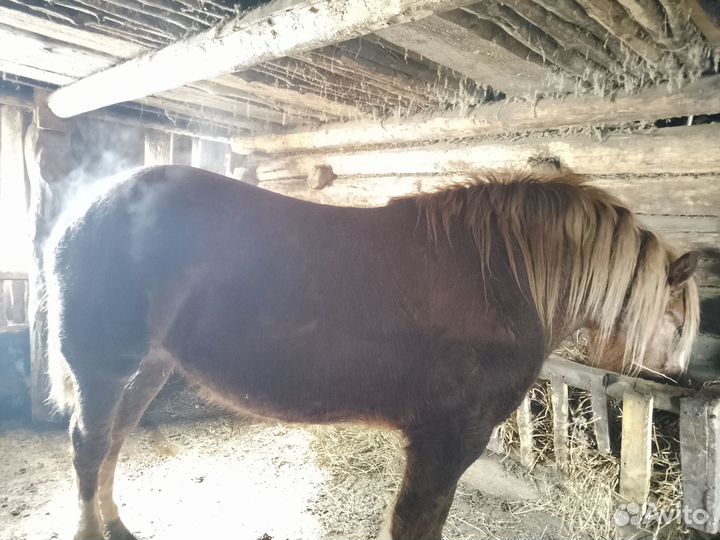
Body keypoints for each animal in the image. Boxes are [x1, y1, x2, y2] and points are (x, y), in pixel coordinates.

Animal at [44, 165, 700, 540]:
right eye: (676, 321)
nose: (680, 381)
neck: (502, 279)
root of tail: (79, 209)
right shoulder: (445, 439)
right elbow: (416, 521)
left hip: (146, 369)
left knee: (113, 441)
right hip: (103, 368)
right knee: (88, 448)